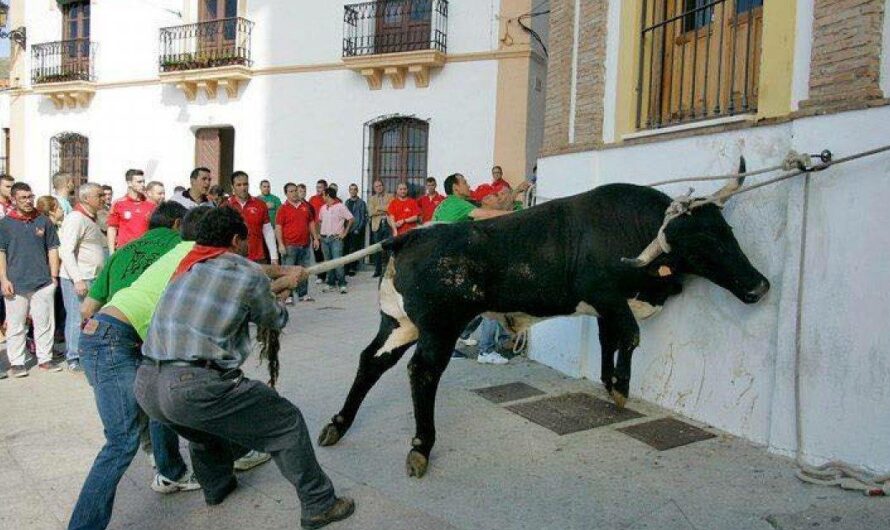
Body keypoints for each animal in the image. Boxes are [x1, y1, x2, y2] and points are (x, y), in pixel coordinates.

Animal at [316, 182, 768, 474]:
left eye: (727, 231)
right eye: (702, 241)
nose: (759, 285)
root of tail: (408, 238)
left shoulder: (605, 308)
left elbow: (609, 340)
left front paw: (610, 384)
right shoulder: (607, 295)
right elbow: (630, 337)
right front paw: (622, 387)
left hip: (398, 324)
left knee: (370, 362)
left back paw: (338, 424)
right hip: (440, 328)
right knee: (422, 372)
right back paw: (420, 446)